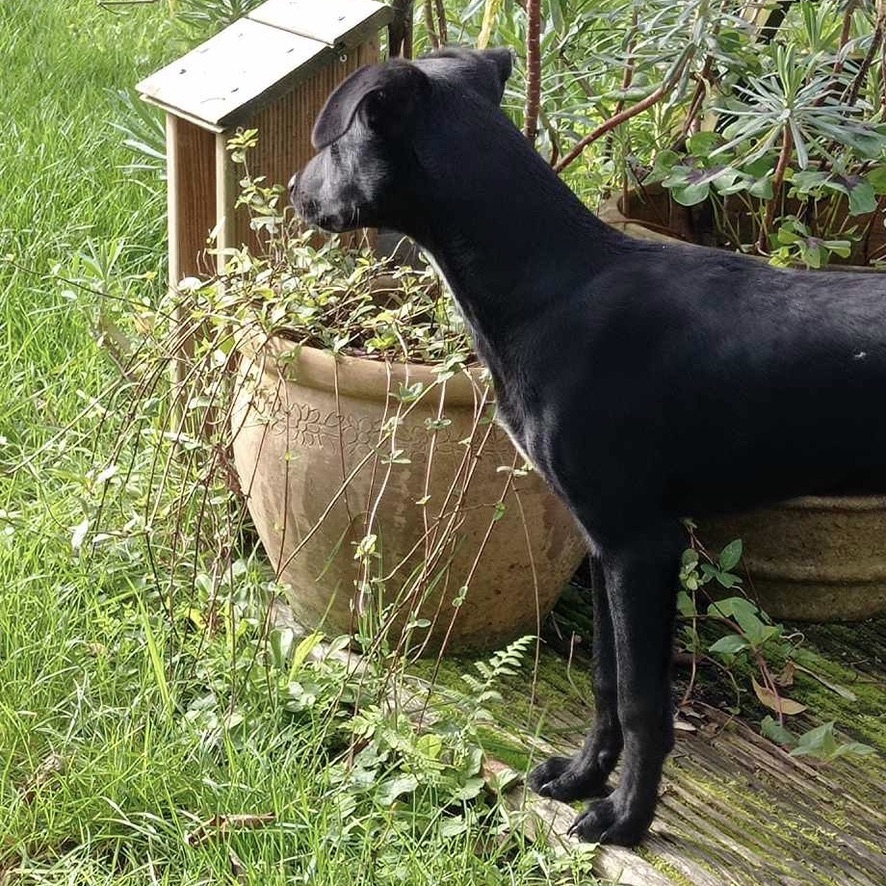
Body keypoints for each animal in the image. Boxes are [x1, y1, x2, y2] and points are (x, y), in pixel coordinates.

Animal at [292, 46, 886, 848]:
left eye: (335, 140)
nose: (294, 193)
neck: (552, 287)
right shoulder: (602, 542)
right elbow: (605, 679)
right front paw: (579, 778)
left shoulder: (642, 542)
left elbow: (641, 700)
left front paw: (625, 819)